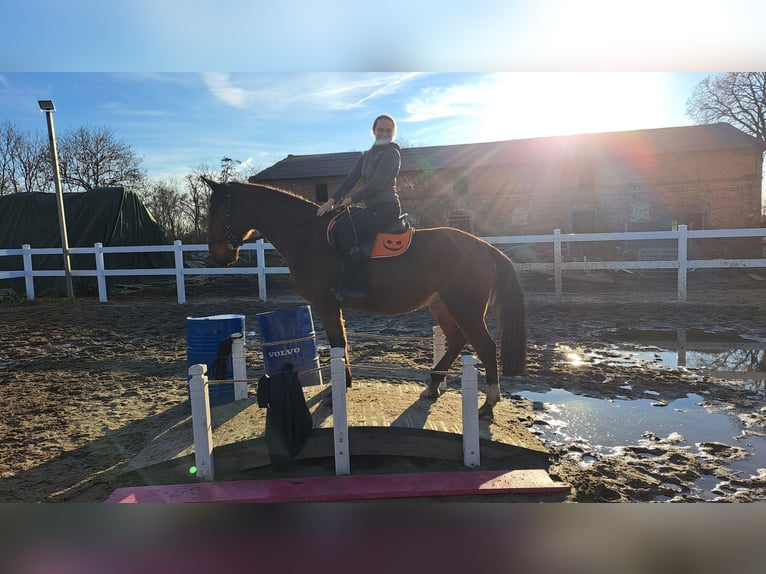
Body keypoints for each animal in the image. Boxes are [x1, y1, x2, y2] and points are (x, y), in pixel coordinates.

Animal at [205, 179, 526, 420]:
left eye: (214, 209)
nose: (218, 256)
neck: (307, 236)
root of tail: (485, 247)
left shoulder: (325, 303)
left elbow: (337, 342)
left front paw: (337, 392)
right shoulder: (332, 305)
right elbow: (342, 343)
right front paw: (343, 384)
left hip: (466, 308)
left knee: (485, 346)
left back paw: (488, 404)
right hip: (441, 305)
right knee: (457, 340)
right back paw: (433, 385)